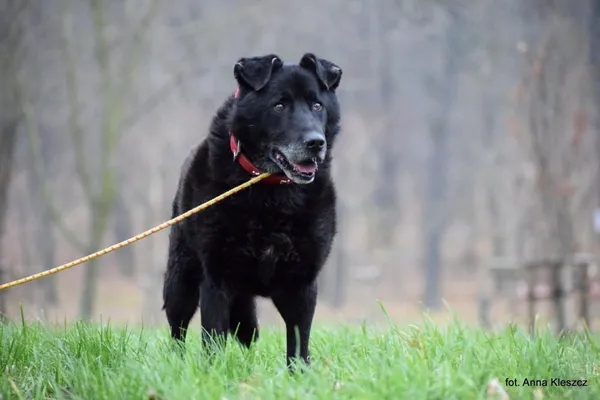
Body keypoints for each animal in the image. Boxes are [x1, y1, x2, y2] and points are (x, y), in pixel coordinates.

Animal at [163, 52, 342, 368]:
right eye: (279, 105)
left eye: (317, 105)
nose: (315, 143)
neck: (271, 192)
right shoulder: (217, 280)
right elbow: (213, 340)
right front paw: (213, 374)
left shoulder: (302, 284)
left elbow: (299, 346)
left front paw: (299, 375)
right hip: (180, 280)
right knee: (178, 329)